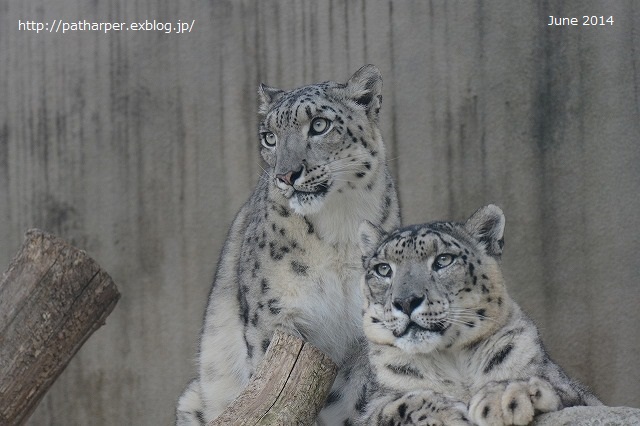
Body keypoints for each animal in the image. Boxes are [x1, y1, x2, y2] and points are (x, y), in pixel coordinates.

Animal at [175, 65, 400, 424]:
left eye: (319, 125)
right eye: (270, 137)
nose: (286, 174)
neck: (340, 227)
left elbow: (352, 402)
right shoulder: (274, 318)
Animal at [356, 205, 600, 424]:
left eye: (444, 259)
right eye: (383, 269)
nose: (406, 302)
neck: (453, 361)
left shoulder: (583, 396)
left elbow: (552, 385)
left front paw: (502, 397)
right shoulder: (372, 409)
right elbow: (393, 405)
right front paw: (448, 413)